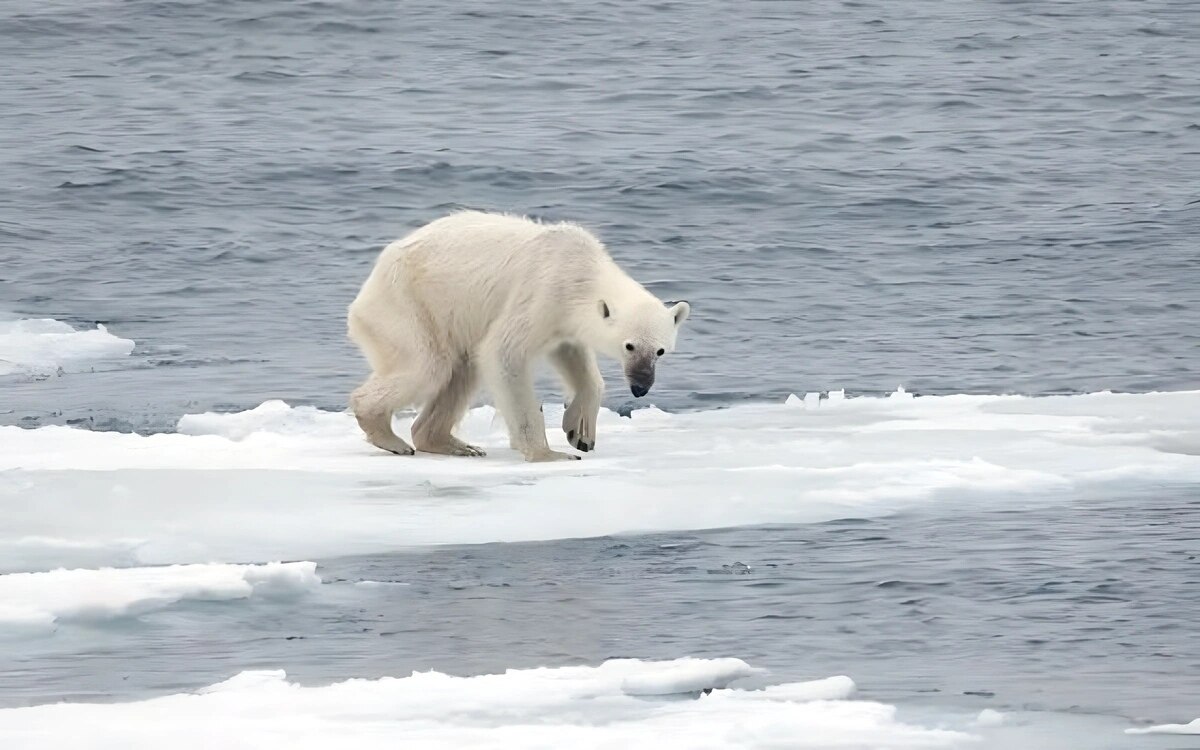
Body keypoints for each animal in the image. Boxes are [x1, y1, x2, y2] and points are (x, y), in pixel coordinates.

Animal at [343, 211, 691, 463]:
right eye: (629, 345)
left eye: (660, 351)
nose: (641, 387)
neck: (581, 271)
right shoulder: (542, 291)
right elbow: (504, 354)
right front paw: (549, 454)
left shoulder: (563, 321)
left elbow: (575, 360)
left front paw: (580, 433)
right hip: (408, 304)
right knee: (429, 366)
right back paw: (389, 436)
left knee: (462, 370)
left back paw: (454, 444)